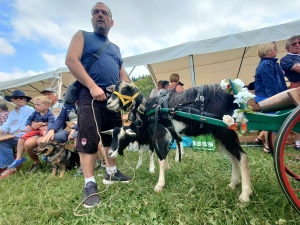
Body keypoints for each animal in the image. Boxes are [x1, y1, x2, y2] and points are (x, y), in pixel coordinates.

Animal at [104, 81, 252, 202]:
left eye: (126, 89)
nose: (108, 103)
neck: (150, 108)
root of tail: (230, 97)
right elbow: (164, 156)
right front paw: (166, 170)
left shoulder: (159, 134)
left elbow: (160, 158)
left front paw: (159, 184)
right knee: (233, 157)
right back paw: (233, 184)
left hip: (225, 130)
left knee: (242, 157)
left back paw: (245, 194)